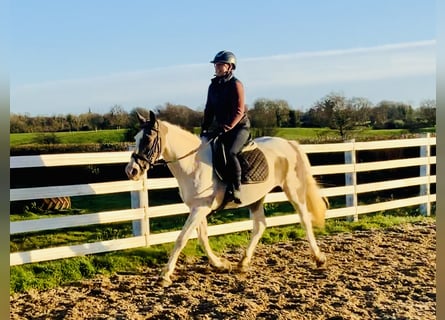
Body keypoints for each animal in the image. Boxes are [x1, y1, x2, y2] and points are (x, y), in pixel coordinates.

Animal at [125, 111, 326, 286]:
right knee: (260, 225)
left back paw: (319, 258)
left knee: (305, 219)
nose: (131, 171)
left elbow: (182, 238)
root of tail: (289, 143)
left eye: (148, 139)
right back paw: (243, 263)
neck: (192, 164)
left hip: (294, 190)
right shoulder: (198, 207)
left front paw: (165, 275)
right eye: (135, 138)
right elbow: (202, 237)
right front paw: (220, 264)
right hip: (257, 198)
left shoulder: (201, 208)